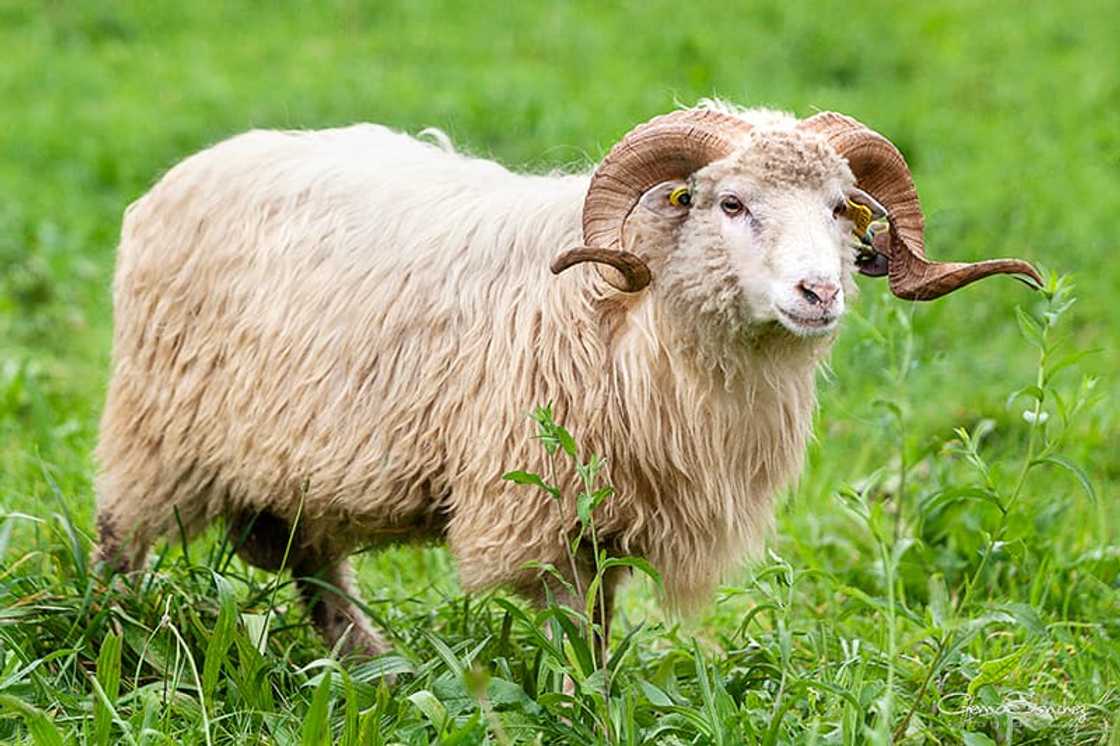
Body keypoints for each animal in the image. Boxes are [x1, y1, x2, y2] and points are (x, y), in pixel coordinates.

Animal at [92, 101, 1040, 656]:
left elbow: (605, 626)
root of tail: (200, 165)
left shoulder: (616, 517)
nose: (820, 292)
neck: (636, 315)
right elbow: (571, 636)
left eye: (844, 209)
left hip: (298, 459)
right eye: (729, 203)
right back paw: (113, 636)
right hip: (155, 429)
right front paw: (579, 706)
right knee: (120, 538)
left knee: (316, 566)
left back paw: (366, 662)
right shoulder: (540, 510)